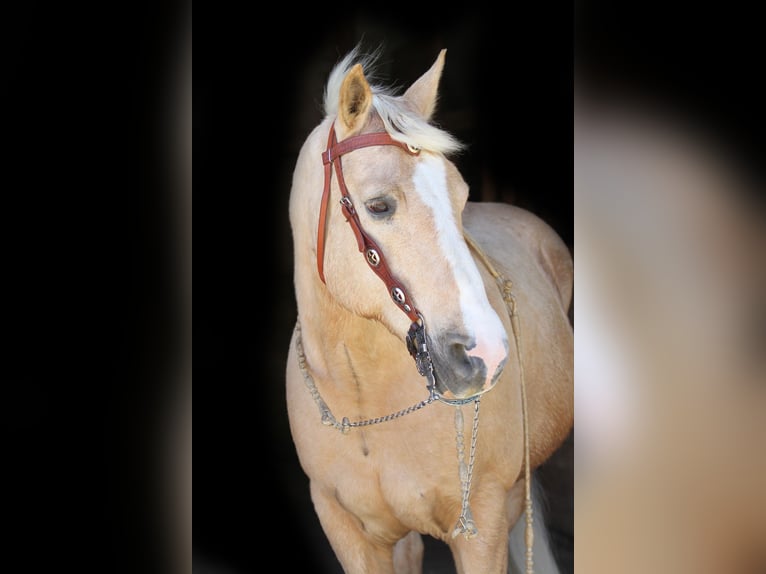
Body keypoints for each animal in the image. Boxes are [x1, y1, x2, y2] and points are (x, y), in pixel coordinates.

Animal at [285, 47, 573, 573]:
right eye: (378, 206)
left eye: (461, 197)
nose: (487, 354)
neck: (367, 402)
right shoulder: (348, 532)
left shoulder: (482, 527)